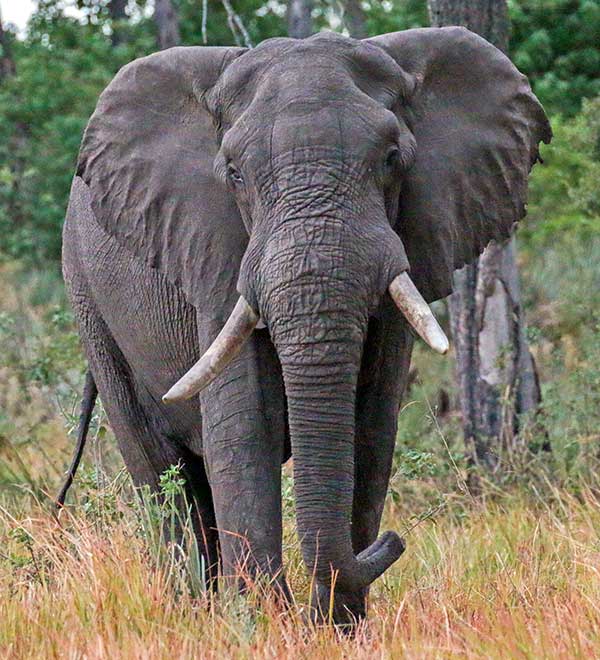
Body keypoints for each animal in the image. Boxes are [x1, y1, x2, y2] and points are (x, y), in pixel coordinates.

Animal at [58, 27, 552, 624]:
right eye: (234, 174)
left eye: (392, 159)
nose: (393, 542)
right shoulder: (216, 250)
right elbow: (248, 426)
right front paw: (264, 625)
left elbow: (370, 429)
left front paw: (337, 627)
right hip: (89, 301)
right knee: (160, 473)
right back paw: (192, 610)